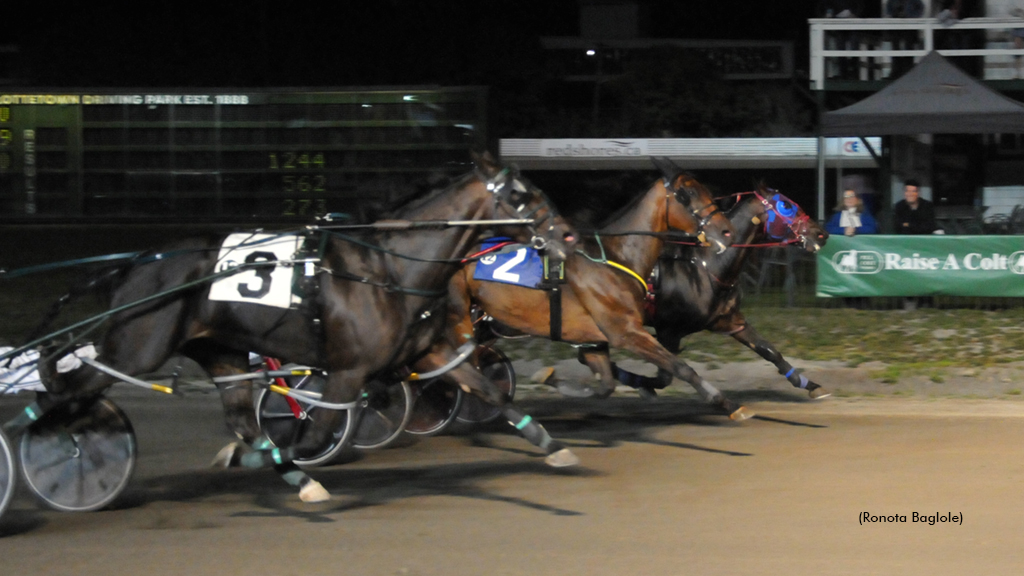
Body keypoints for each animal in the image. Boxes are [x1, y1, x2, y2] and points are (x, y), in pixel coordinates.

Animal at [415, 158, 761, 420]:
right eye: (687, 194)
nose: (726, 231)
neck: (616, 258)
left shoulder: (595, 339)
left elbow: (605, 384)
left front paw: (553, 380)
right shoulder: (627, 332)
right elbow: (681, 367)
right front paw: (727, 403)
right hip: (461, 318)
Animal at [606, 184, 831, 399]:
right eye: (786, 205)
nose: (822, 234)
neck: (707, 266)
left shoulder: (730, 321)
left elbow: (768, 350)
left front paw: (811, 385)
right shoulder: (668, 331)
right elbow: (665, 377)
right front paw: (636, 382)